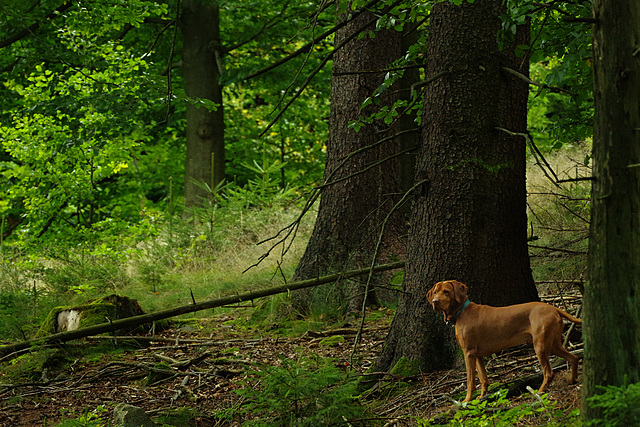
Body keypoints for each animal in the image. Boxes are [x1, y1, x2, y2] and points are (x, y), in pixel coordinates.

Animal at [428, 280, 584, 402]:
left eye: (446, 292)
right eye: (435, 292)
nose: (435, 302)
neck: (462, 312)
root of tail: (553, 307)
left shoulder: (468, 353)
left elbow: (470, 380)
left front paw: (467, 400)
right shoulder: (477, 355)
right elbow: (483, 379)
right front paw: (482, 397)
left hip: (540, 346)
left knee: (549, 372)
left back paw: (540, 391)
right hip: (553, 344)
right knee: (574, 357)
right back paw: (572, 380)